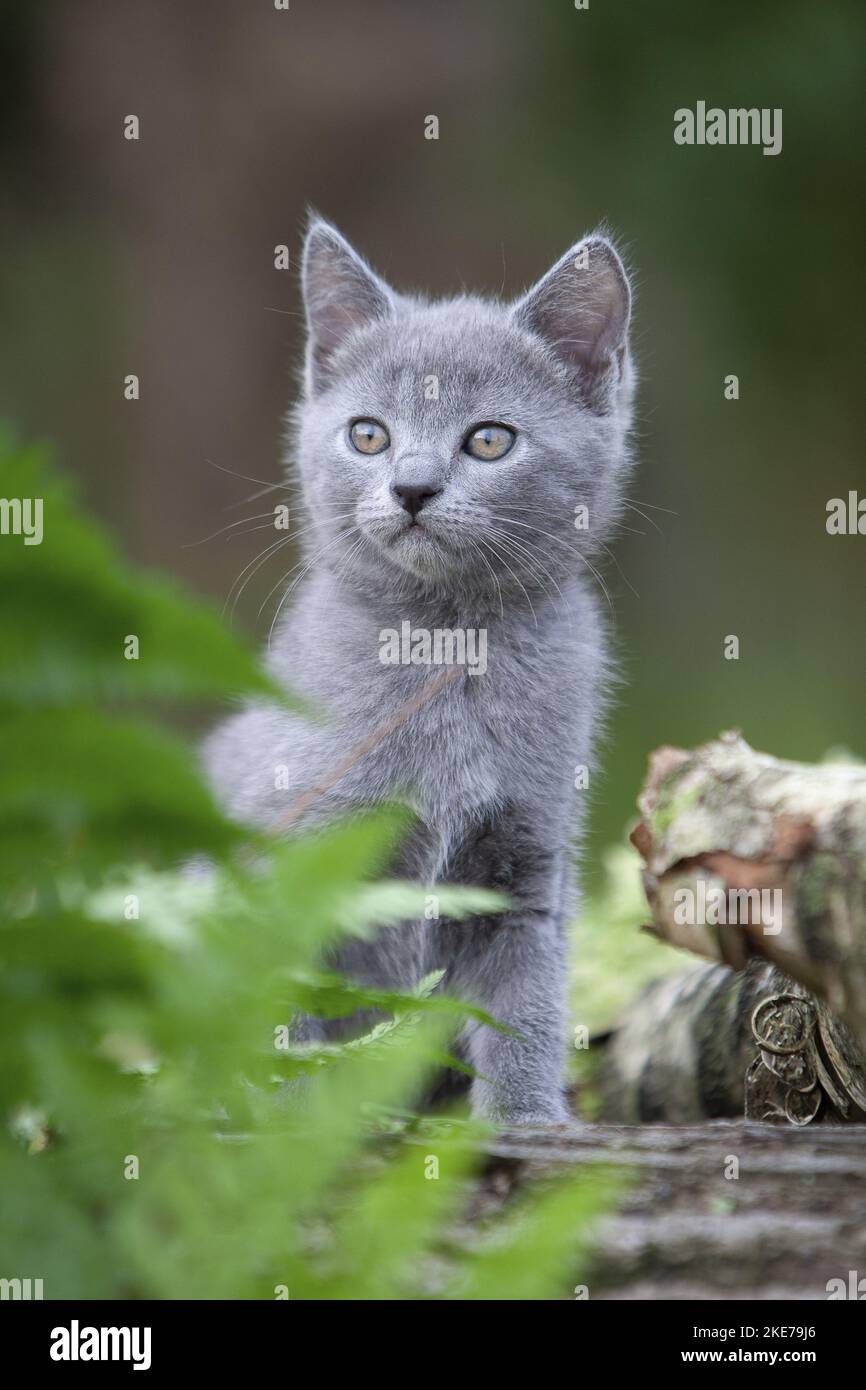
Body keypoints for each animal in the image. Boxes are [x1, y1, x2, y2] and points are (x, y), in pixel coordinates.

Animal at [204, 219, 636, 1128]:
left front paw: (527, 1120)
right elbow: (289, 1008)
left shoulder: (527, 863)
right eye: (368, 433)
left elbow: (524, 1002)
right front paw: (292, 1119)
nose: (411, 487)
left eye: (489, 439)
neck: (442, 648)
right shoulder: (291, 853)